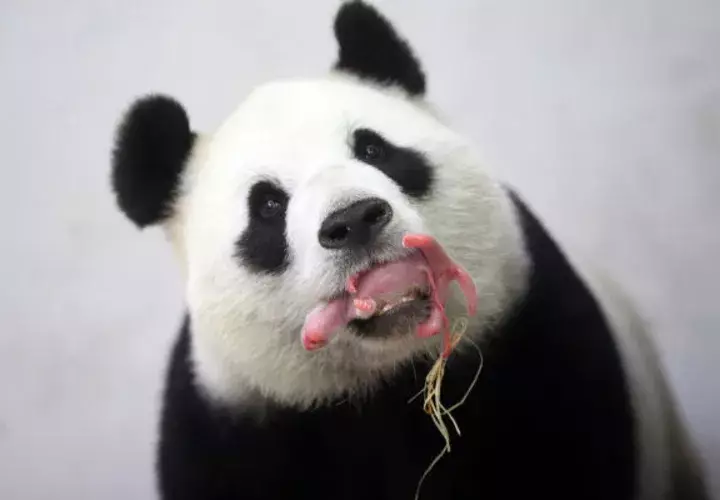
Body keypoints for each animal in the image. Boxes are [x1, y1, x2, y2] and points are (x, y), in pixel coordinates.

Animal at [110, 2, 708, 500]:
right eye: (269, 206)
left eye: (374, 149)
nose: (354, 220)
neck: (385, 382)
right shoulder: (234, 426)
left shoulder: (537, 339)